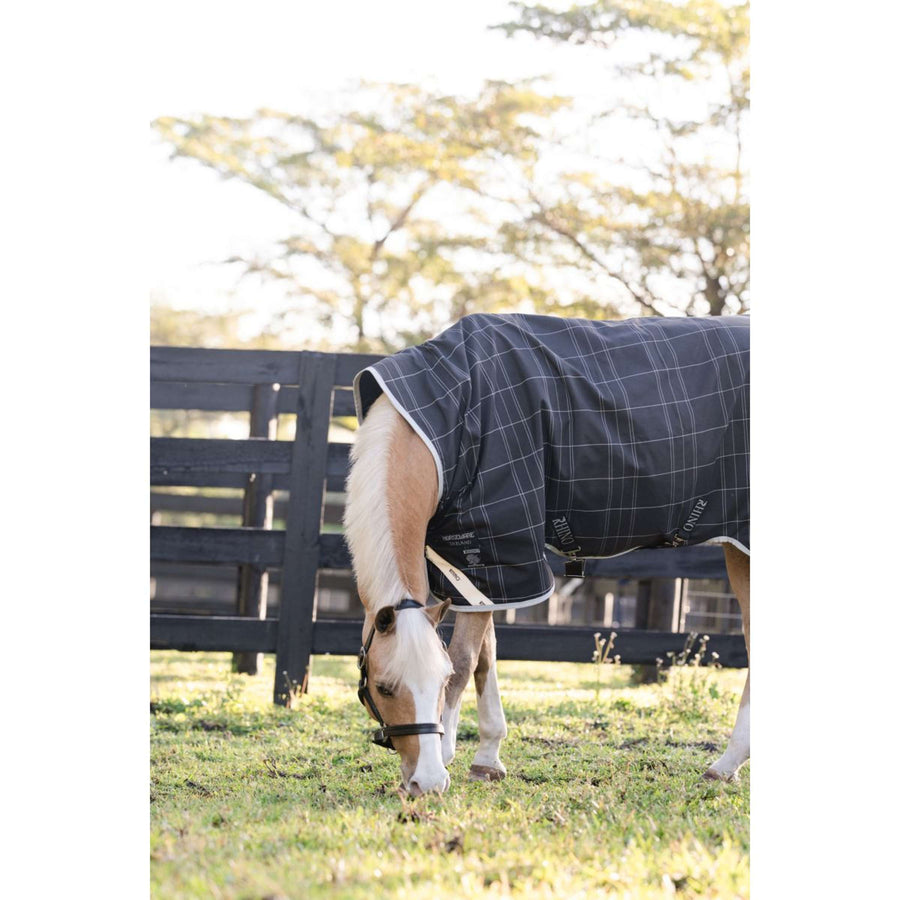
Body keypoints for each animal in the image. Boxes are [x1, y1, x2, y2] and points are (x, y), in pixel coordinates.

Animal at [343, 313, 749, 796]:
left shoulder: (498, 547)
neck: (446, 421)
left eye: (437, 683)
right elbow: (486, 657)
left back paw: (726, 764)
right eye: (384, 688)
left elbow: (464, 661)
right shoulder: (477, 569)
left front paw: (448, 753)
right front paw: (487, 759)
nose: (426, 783)